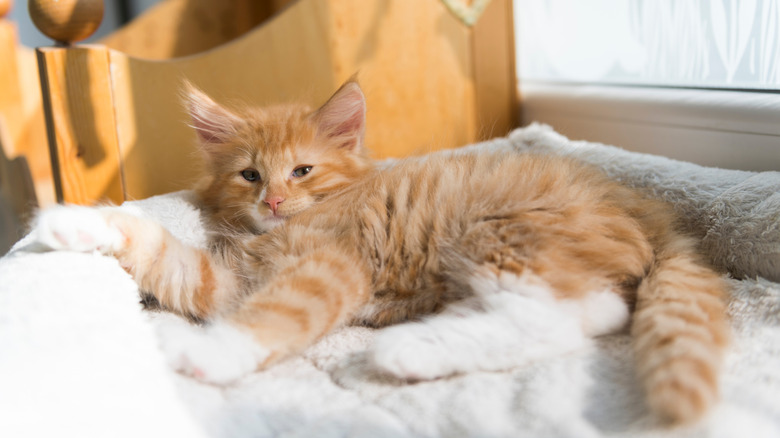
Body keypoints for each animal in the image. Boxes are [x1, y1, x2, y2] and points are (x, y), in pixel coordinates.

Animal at [36, 80, 732, 422]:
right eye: (250, 176)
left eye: (303, 171)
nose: (274, 203)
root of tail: (653, 208)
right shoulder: (227, 278)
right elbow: (158, 245)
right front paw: (69, 224)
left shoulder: (329, 265)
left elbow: (271, 318)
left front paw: (202, 354)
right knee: (583, 313)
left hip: (500, 233)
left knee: (570, 315)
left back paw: (407, 351)